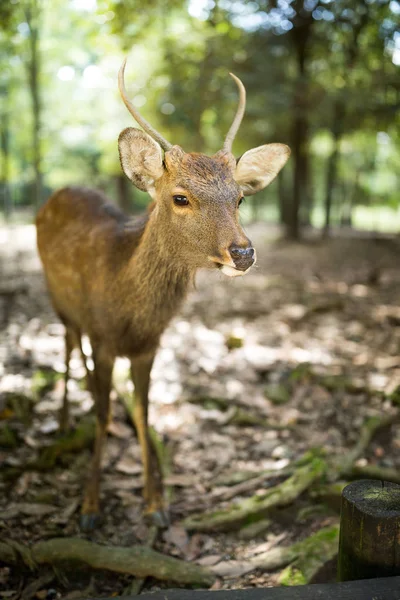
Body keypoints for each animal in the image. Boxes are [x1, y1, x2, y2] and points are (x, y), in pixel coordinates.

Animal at [35, 58, 290, 528]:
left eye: (240, 199)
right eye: (180, 197)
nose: (243, 253)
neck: (129, 313)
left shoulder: (148, 346)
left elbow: (143, 411)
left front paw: (155, 503)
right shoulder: (104, 339)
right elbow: (105, 408)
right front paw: (90, 505)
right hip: (57, 299)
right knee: (67, 343)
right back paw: (62, 420)